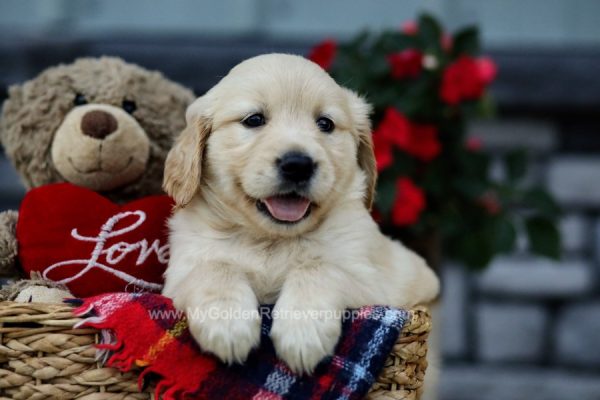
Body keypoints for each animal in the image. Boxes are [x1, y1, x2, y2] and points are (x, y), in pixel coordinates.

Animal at [162, 54, 438, 376]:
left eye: (325, 124)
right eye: (254, 120)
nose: (298, 165)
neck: (271, 240)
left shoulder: (375, 286)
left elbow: (317, 267)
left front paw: (303, 334)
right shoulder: (179, 275)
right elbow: (214, 267)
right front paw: (227, 325)